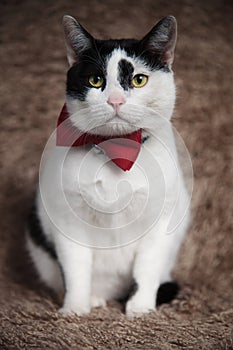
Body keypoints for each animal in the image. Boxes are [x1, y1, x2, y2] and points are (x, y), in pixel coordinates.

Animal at [26, 14, 190, 318]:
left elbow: (146, 269)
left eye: (139, 79)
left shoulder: (162, 221)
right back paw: (94, 299)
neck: (117, 150)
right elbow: (76, 269)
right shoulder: (67, 219)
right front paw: (74, 308)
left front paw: (140, 308)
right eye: (95, 79)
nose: (115, 100)